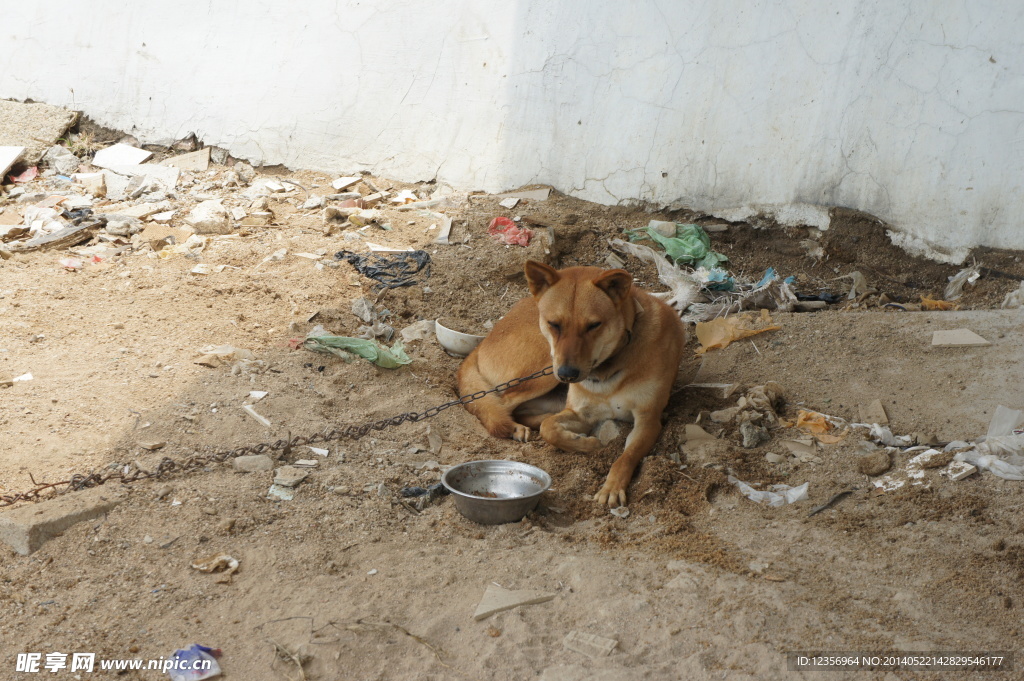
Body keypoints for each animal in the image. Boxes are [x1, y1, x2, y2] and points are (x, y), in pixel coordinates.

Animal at [458, 260, 688, 503]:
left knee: (517, 409)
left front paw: (612, 487)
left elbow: (626, 457)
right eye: (554, 324)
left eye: (594, 325)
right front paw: (587, 444)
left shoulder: (647, 420)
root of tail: (481, 343)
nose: (568, 374)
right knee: (500, 405)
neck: (607, 369)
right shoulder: (582, 412)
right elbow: (550, 430)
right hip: (543, 370)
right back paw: (515, 427)